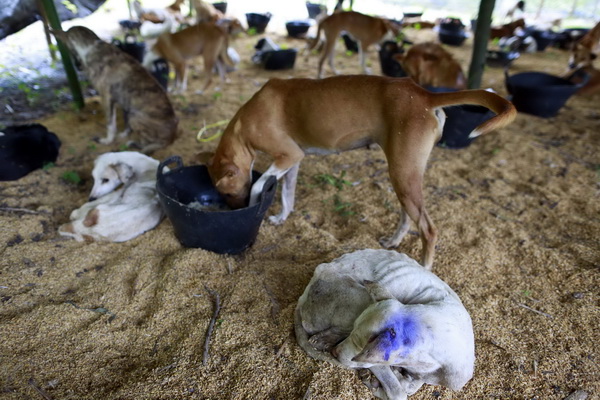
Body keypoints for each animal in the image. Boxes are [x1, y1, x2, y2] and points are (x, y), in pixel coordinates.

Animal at [52, 25, 178, 153]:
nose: (78, 67)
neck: (90, 47)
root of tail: (171, 137)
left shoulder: (106, 98)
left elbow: (110, 124)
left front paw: (107, 141)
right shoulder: (121, 101)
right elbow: (123, 123)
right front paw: (123, 134)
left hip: (135, 117)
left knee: (152, 144)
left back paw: (136, 145)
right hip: (131, 112)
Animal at [200, 75, 516, 268]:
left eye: (227, 193)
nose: (235, 210)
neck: (245, 121)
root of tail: (424, 95)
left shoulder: (289, 155)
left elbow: (259, 184)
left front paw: (256, 204)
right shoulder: (292, 161)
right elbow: (288, 194)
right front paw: (281, 216)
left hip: (401, 172)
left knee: (428, 228)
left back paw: (425, 267)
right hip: (406, 173)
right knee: (409, 215)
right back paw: (393, 241)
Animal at [294, 250, 474, 400]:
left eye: (362, 346)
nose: (335, 352)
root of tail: (304, 294)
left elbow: (410, 386)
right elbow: (398, 392)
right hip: (361, 296)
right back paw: (323, 340)